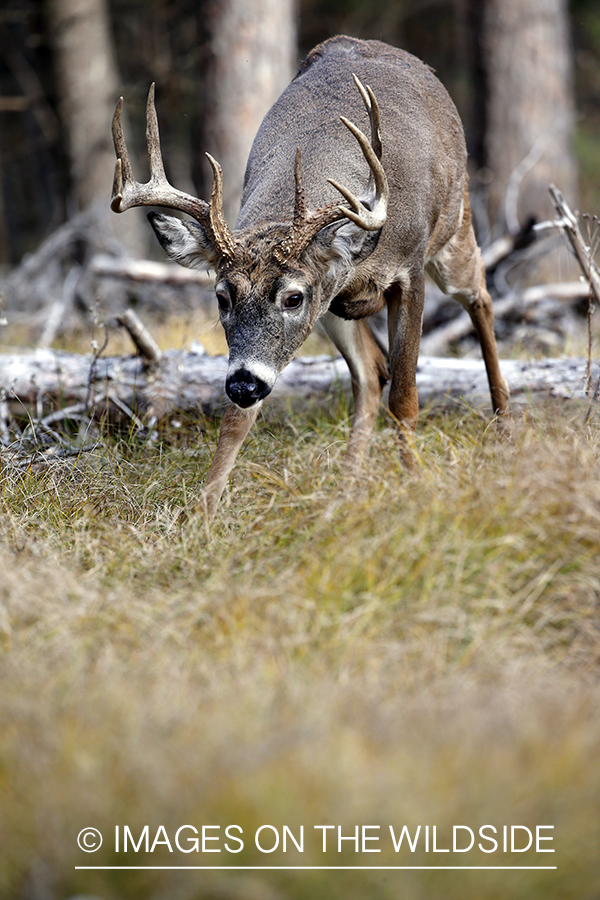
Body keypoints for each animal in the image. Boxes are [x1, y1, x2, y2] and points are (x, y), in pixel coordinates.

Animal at [110, 35, 508, 512]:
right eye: (222, 297)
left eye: (293, 297)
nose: (243, 384)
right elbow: (236, 423)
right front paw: (204, 511)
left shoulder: (409, 271)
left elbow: (406, 399)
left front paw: (418, 486)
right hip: (336, 311)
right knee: (370, 374)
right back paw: (346, 490)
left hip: (453, 232)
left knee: (482, 299)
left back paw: (505, 426)